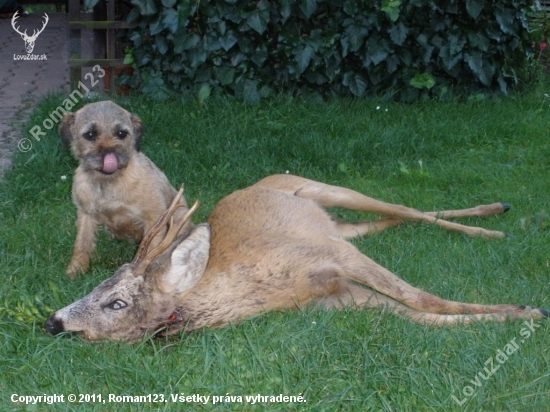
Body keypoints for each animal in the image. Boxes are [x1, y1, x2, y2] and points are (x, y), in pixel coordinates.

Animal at [45, 174, 548, 342]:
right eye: (94, 288)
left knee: (409, 210)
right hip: (338, 223)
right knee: (386, 221)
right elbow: (421, 316)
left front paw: (529, 308)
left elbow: (422, 299)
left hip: (327, 194)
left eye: (116, 301)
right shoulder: (341, 297)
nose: (53, 321)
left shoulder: (334, 256)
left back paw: (495, 220)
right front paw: (520, 313)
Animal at [58, 101, 192, 278]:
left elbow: (151, 249)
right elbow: (82, 242)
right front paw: (76, 269)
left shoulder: (154, 219)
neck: (108, 183)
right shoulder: (85, 214)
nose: (109, 155)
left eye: (121, 133)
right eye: (90, 134)